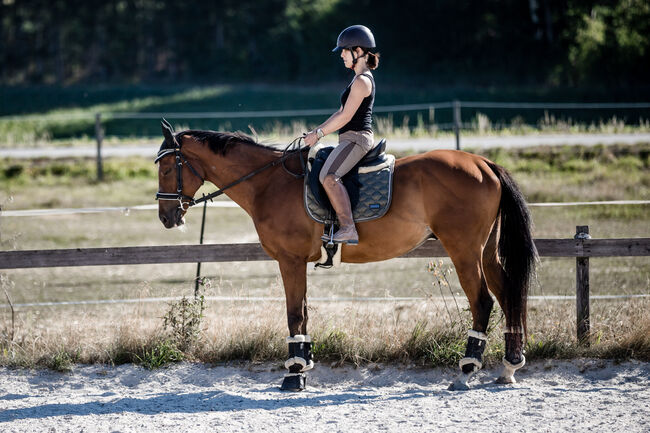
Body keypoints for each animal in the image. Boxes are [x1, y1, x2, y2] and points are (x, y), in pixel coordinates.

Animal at [154, 120, 536, 390]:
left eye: (166, 169)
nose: (166, 218)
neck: (269, 183)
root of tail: (483, 163)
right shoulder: (297, 263)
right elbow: (304, 314)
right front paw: (304, 368)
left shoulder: (290, 261)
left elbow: (294, 314)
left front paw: (293, 375)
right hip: (485, 251)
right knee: (507, 293)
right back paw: (509, 365)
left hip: (463, 250)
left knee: (482, 301)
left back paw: (467, 370)